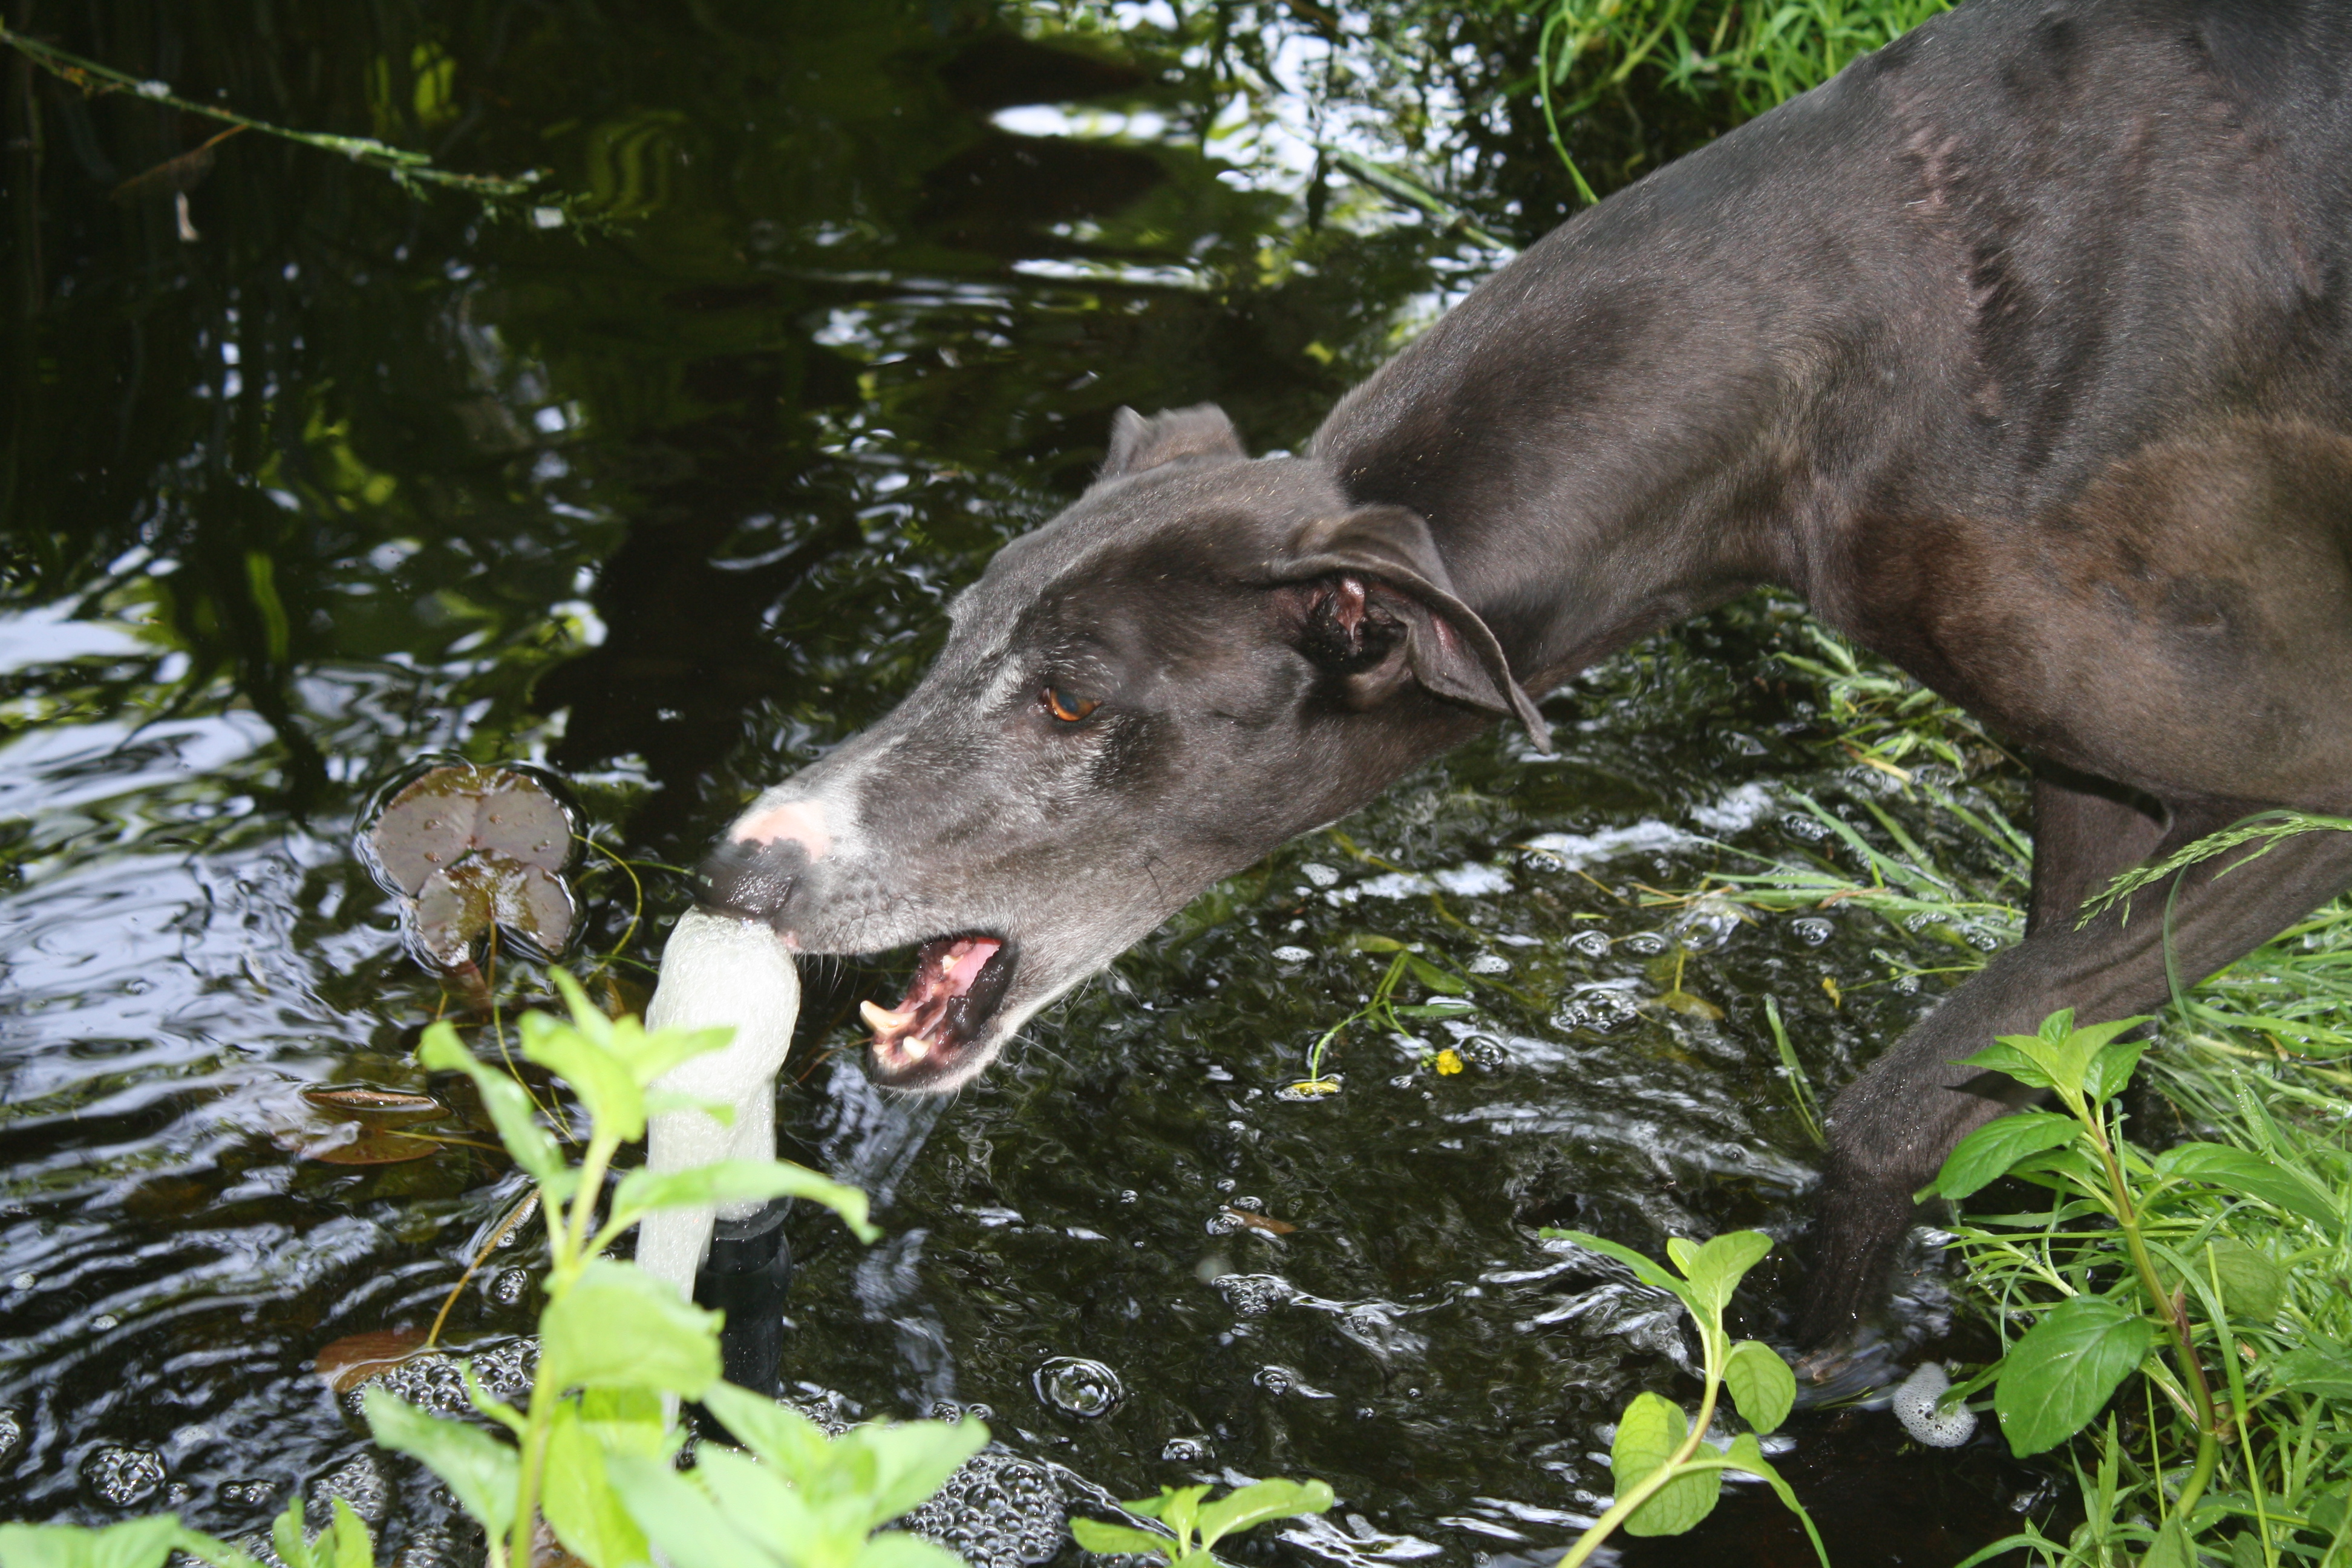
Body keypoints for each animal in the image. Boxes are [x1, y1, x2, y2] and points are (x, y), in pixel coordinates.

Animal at [682, 3, 2352, 1354]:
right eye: (954, 628)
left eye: (1074, 699)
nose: (733, 868)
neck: (1863, 341)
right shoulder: (2087, 783)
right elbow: (2057, 1071)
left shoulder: (2300, 786)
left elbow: (1895, 1112)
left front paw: (1806, 1378)